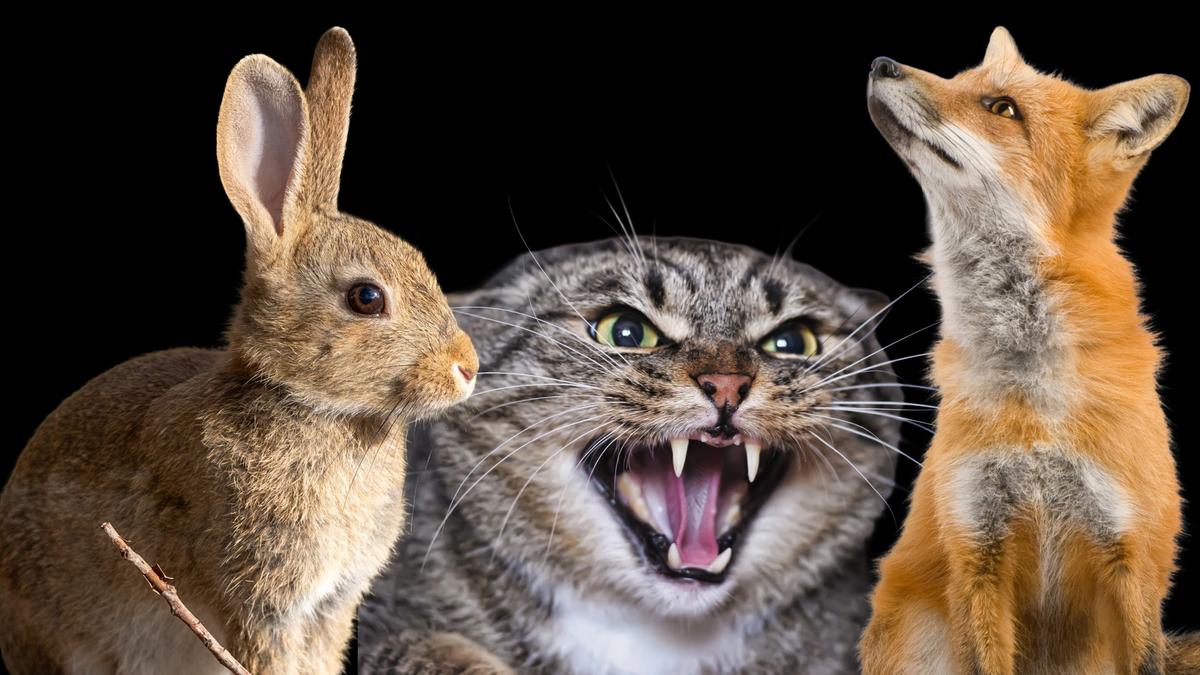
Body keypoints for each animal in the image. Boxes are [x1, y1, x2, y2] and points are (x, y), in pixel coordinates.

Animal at [858, 26, 1191, 675]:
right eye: (959, 78)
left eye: (1002, 108)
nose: (882, 62)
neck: (1033, 402)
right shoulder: (977, 553)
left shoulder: (1132, 557)